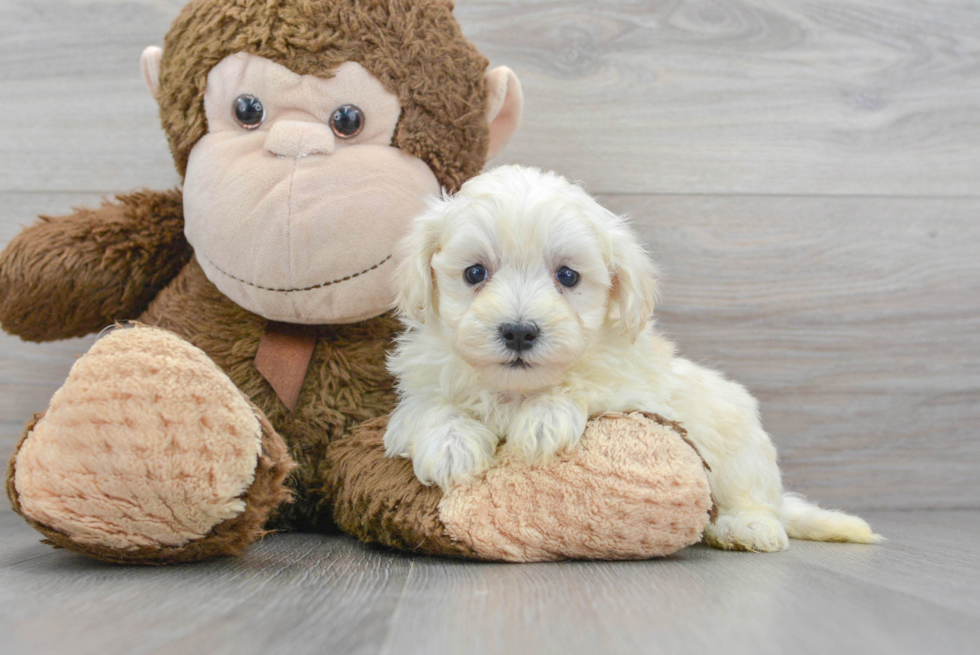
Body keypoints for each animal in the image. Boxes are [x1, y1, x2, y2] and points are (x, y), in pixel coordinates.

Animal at [386, 165, 884, 552]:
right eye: (474, 273)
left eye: (568, 276)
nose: (519, 331)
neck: (515, 389)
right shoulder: (419, 389)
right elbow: (429, 405)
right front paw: (451, 445)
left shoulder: (637, 391)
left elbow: (587, 385)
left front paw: (544, 419)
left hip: (738, 442)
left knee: (754, 496)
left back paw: (747, 527)